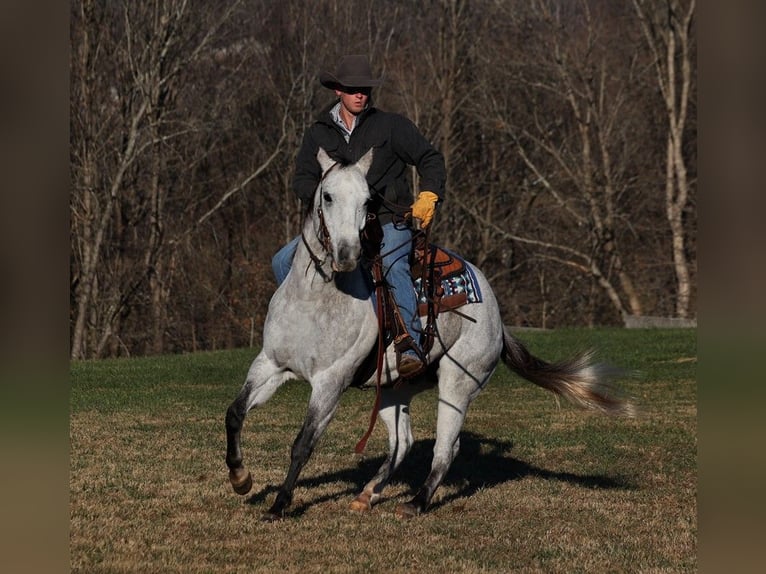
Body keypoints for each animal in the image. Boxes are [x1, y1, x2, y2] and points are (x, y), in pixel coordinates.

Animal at [226, 148, 636, 520]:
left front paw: (279, 505)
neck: (316, 300)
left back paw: (416, 502)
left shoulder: (330, 383)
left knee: (445, 448)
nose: (346, 254)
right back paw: (368, 494)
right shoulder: (270, 365)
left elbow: (303, 443)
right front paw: (241, 479)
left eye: (367, 201)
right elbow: (235, 412)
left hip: (458, 382)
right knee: (402, 443)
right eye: (327, 196)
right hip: (393, 389)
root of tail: (496, 316)